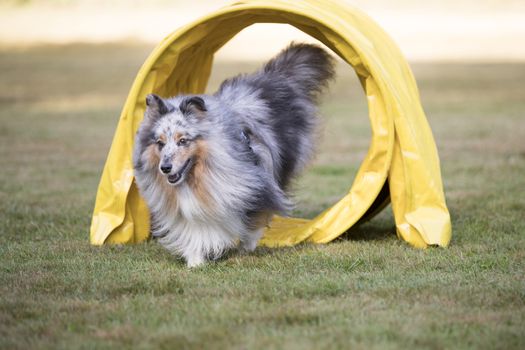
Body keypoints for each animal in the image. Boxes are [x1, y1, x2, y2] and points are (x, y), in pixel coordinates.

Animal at [133, 43, 334, 266]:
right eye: (160, 143)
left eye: (183, 141)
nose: (165, 168)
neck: (197, 178)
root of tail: (275, 78)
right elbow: (195, 229)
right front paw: (195, 261)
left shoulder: (256, 187)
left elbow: (254, 221)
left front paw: (245, 247)